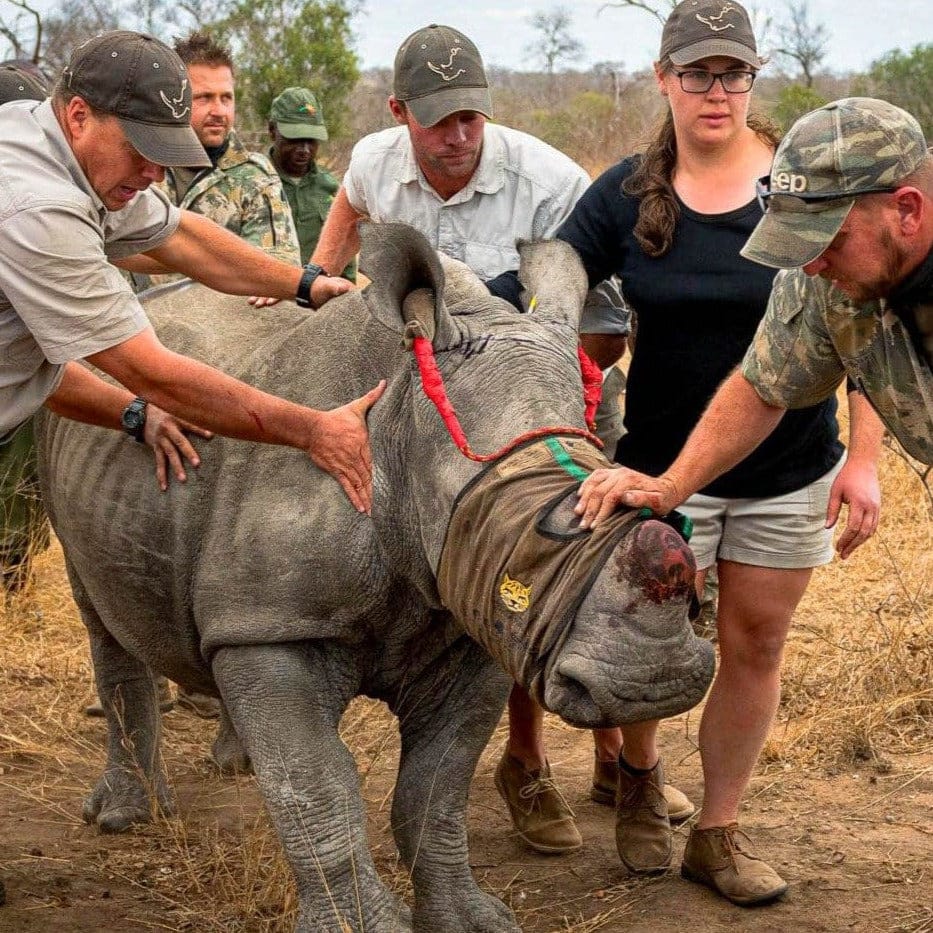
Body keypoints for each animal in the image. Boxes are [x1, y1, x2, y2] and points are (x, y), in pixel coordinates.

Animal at [32, 226, 708, 932]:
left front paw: (471, 920)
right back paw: (125, 818)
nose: (657, 682)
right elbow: (318, 787)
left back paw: (236, 762)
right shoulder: (278, 631)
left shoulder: (470, 625)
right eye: (520, 531)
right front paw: (366, 925)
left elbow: (437, 785)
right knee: (104, 620)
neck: (401, 434)